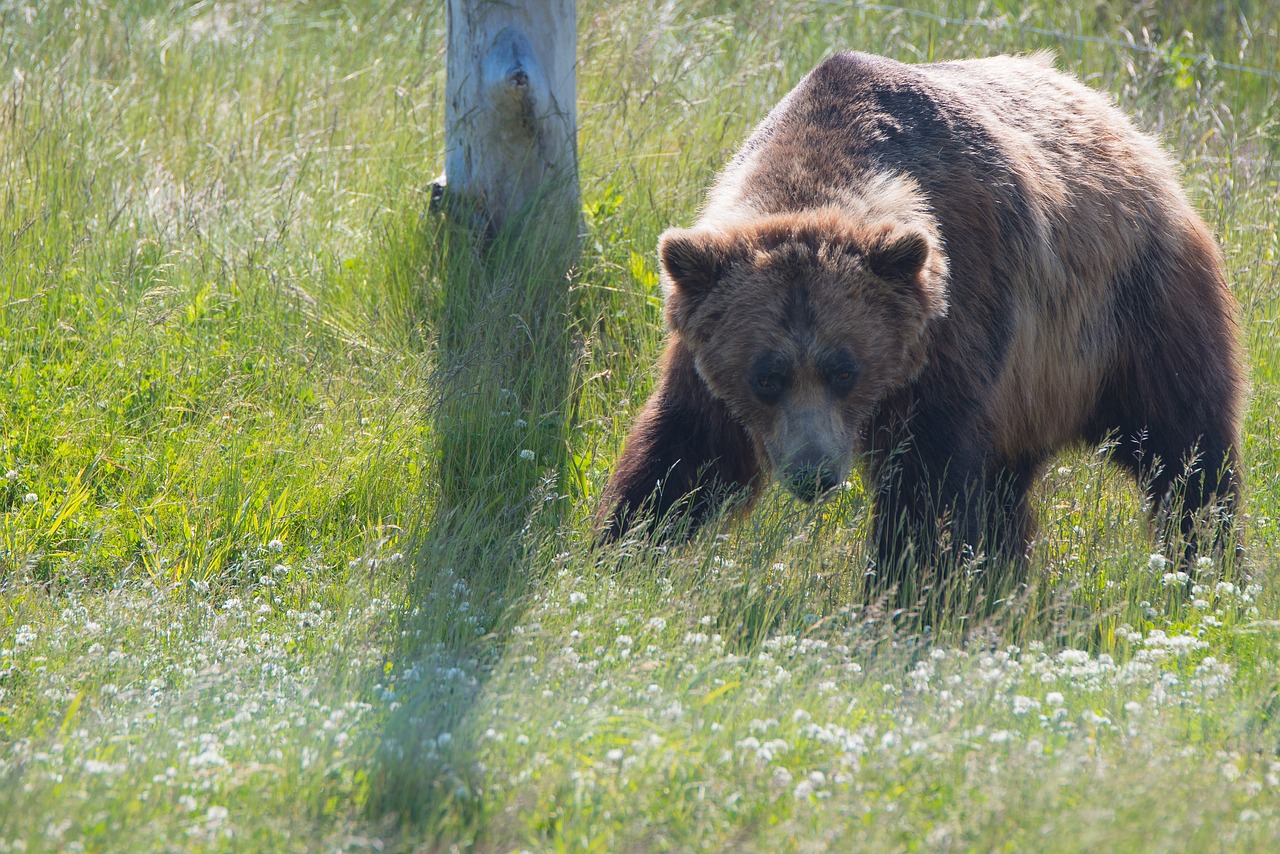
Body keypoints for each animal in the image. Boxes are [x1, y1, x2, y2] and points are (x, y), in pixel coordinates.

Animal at [593, 50, 1244, 591]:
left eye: (845, 369)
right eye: (767, 376)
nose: (814, 473)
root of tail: (1124, 126)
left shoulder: (956, 324)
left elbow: (926, 486)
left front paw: (903, 590)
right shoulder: (707, 353)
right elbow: (685, 453)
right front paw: (618, 550)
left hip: (1125, 317)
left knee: (1183, 442)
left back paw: (1207, 567)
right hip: (1029, 392)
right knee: (1007, 487)